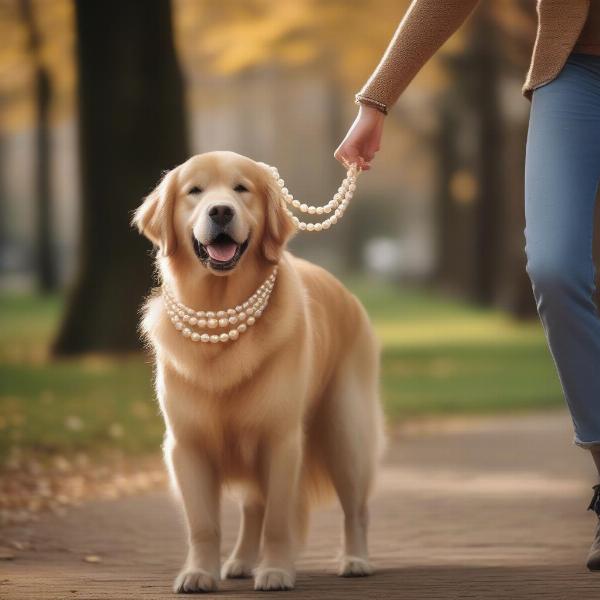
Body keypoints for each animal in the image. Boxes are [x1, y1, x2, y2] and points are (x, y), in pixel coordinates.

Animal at [132, 152, 384, 592]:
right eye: (194, 191)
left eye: (241, 189)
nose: (220, 211)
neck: (218, 305)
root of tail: (348, 294)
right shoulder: (187, 445)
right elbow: (204, 525)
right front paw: (199, 572)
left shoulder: (280, 440)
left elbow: (279, 520)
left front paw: (277, 571)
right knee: (253, 508)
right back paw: (241, 561)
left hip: (345, 430)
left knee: (356, 508)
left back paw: (355, 560)